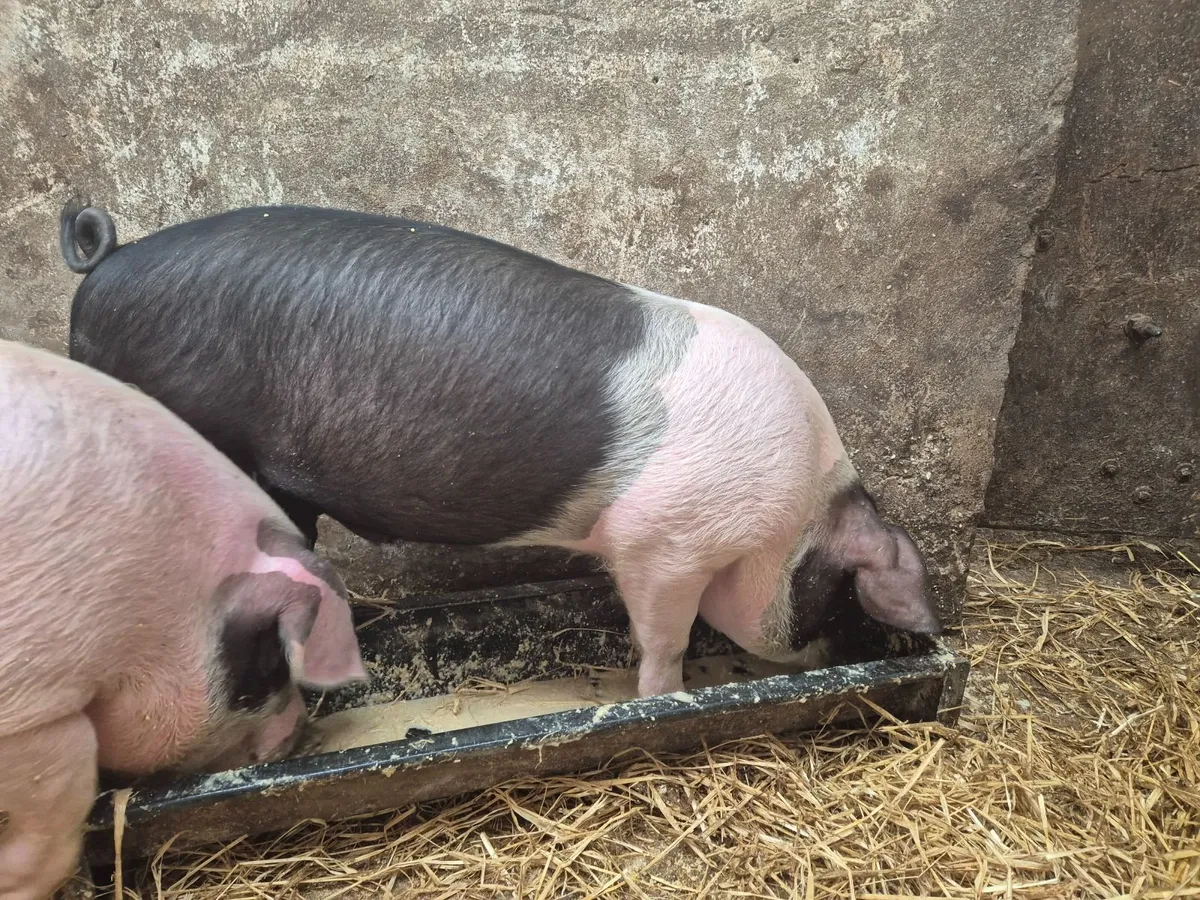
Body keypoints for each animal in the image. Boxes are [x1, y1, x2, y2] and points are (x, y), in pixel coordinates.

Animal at [62, 200, 942, 703]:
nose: (831, 654)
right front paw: (655, 698)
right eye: (839, 595)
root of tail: (108, 258)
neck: (790, 514)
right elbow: (665, 639)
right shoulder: (663, 542)